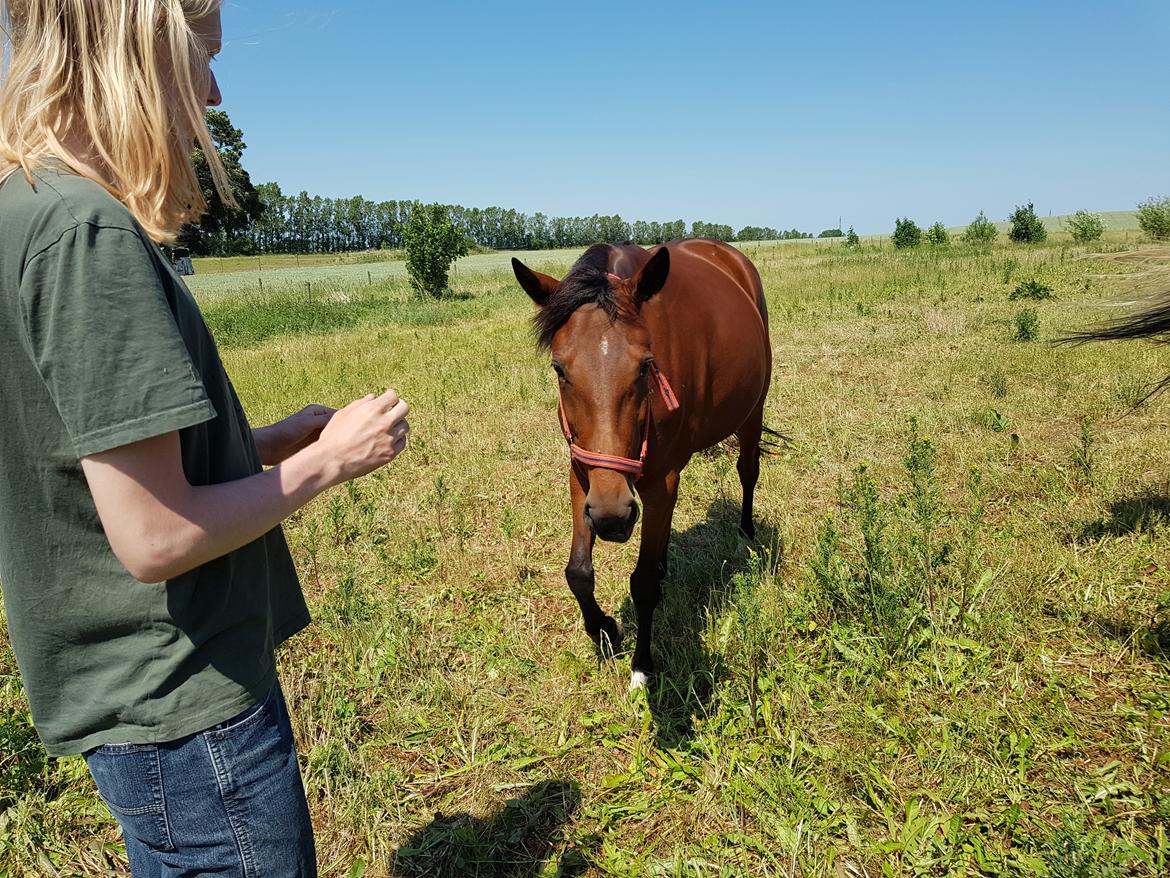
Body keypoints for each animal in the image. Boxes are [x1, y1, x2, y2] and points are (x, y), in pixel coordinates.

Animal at [514, 241, 772, 693]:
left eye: (645, 365)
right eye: (559, 369)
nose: (613, 516)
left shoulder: (656, 482)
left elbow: (644, 582)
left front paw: (642, 664)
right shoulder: (583, 474)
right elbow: (578, 572)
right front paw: (604, 629)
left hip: (752, 411)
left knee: (748, 470)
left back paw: (745, 531)